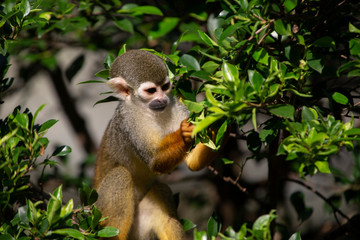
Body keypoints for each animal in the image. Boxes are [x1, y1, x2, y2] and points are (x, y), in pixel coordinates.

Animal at [94, 49, 215, 239]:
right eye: (151, 91)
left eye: (165, 87)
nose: (162, 99)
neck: (147, 111)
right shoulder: (128, 121)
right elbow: (154, 162)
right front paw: (184, 133)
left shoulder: (175, 104)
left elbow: (192, 163)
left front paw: (218, 122)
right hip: (99, 214)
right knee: (120, 175)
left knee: (162, 194)